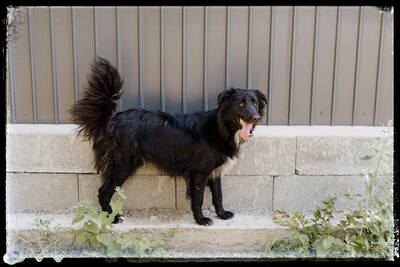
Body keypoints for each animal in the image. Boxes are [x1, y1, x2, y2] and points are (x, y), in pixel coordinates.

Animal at [70, 56, 268, 226]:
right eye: (241, 104)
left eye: (255, 103)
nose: (256, 117)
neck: (221, 127)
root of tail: (112, 120)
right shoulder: (199, 172)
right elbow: (199, 199)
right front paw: (201, 220)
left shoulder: (215, 172)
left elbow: (218, 195)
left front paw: (222, 214)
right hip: (122, 164)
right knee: (103, 192)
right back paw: (112, 218)